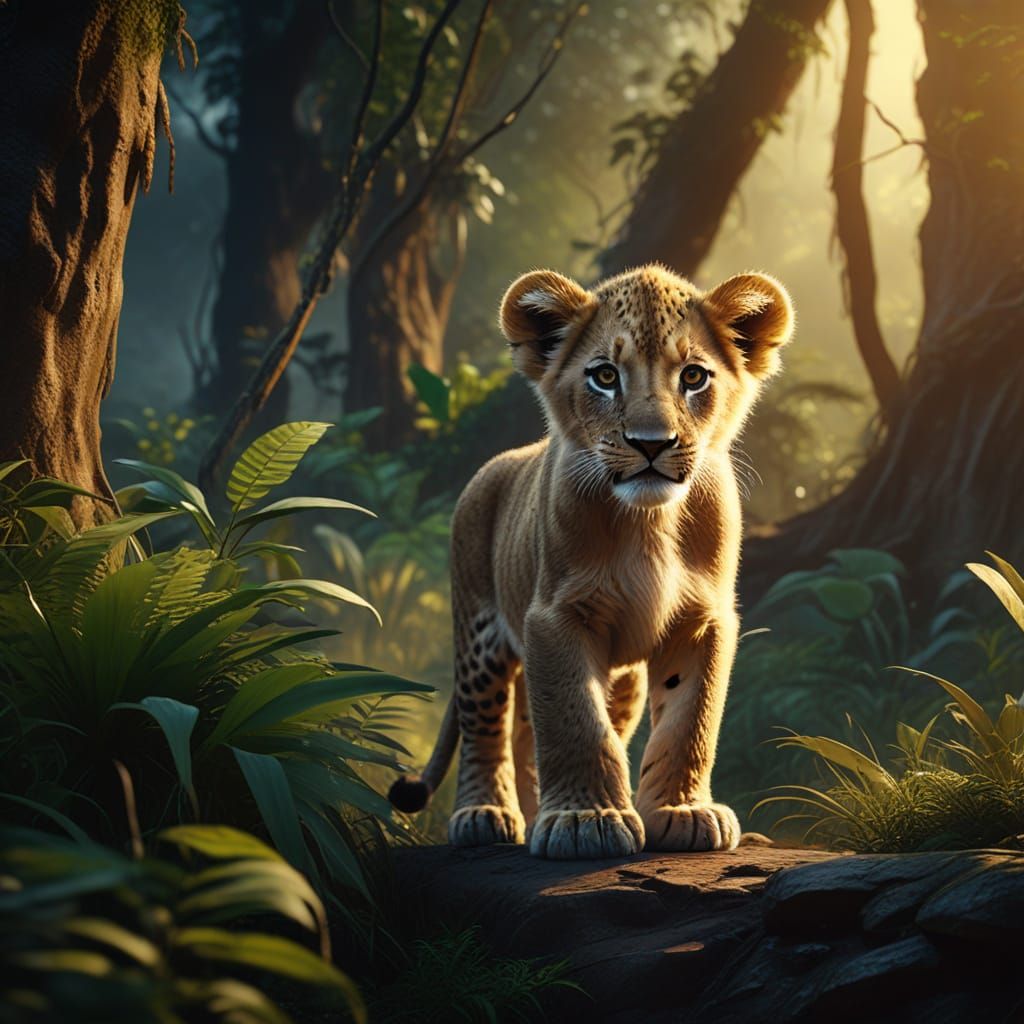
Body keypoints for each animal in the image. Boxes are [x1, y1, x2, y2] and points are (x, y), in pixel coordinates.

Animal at [388, 263, 794, 859]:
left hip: (620, 677)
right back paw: (485, 815)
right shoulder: (555, 617)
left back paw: (538, 814)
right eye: (604, 376)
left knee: (535, 729)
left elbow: (688, 721)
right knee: (488, 725)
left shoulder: (704, 622)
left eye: (694, 377)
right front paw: (586, 821)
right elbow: (576, 722)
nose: (652, 443)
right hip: (479, 631)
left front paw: (681, 812)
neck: (650, 524)